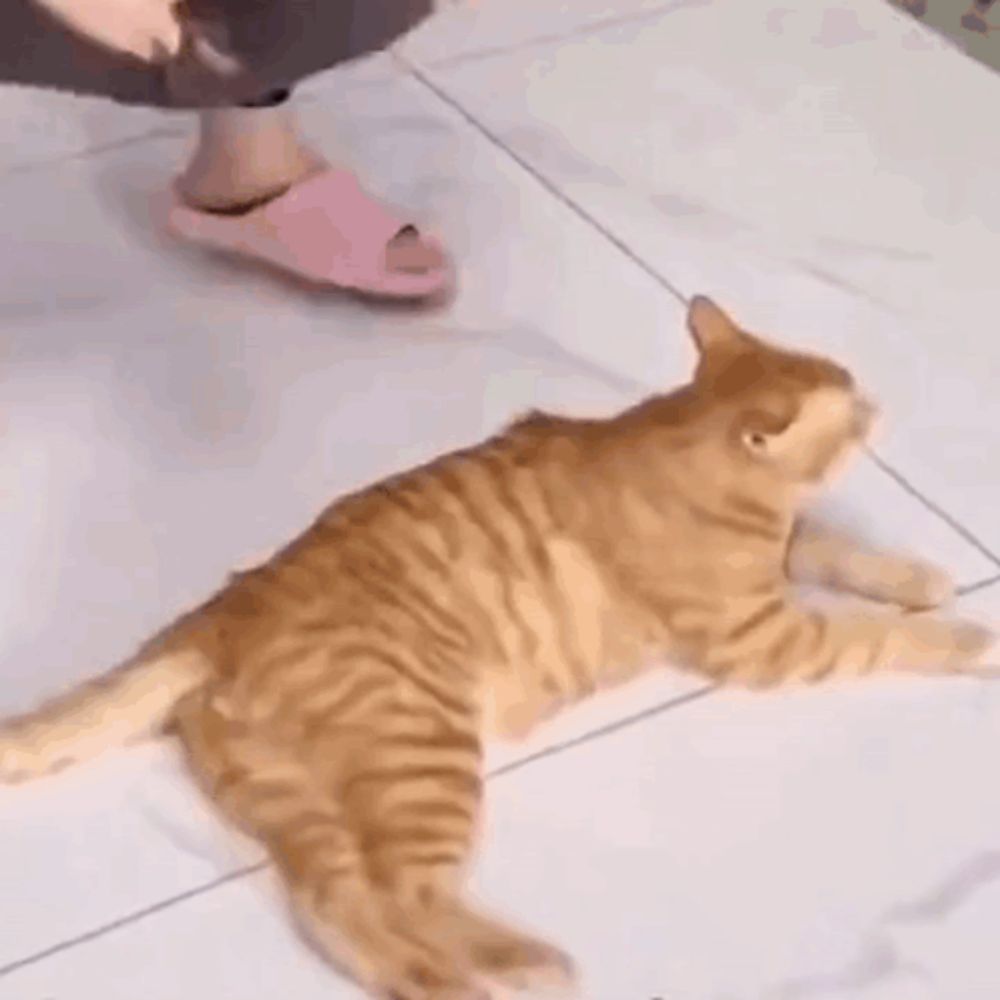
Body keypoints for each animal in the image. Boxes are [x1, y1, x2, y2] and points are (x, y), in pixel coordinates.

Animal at [0, 298, 992, 1000]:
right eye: (852, 412)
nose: (877, 403)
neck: (684, 441)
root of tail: (215, 615)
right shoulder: (768, 639)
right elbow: (875, 635)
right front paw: (966, 634)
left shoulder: (785, 564)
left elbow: (838, 549)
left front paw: (919, 574)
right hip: (426, 756)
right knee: (407, 891)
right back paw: (525, 962)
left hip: (295, 801)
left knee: (334, 905)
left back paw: (434, 983)